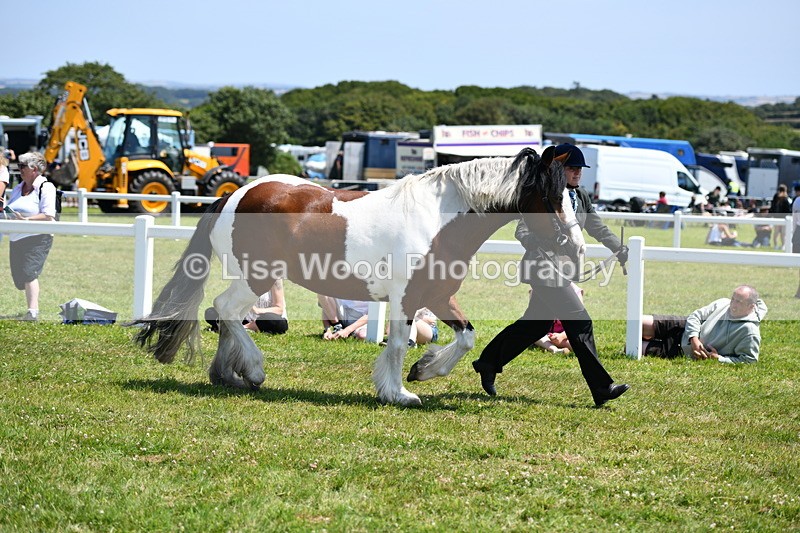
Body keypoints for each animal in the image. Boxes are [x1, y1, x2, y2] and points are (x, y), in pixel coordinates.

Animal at [133, 146, 585, 406]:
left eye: (572, 194)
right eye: (550, 196)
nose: (577, 249)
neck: (438, 220)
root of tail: (233, 195)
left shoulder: (437, 295)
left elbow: (466, 336)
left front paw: (424, 371)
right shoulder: (406, 298)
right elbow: (399, 343)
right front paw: (399, 392)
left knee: (223, 315)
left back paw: (228, 375)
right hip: (256, 276)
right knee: (224, 310)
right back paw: (254, 371)